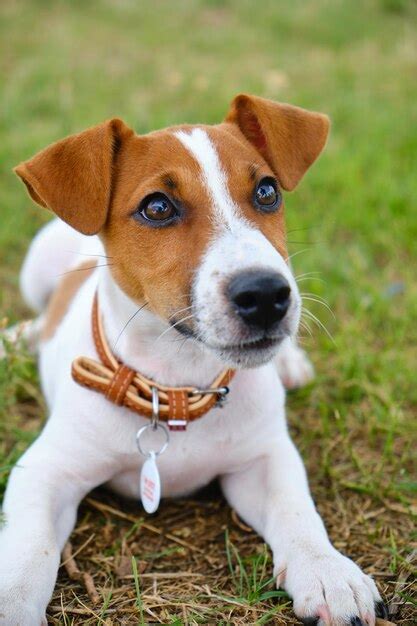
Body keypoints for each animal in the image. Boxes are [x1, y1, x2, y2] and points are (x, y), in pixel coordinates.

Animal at [0, 94, 386, 624]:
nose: (267, 295)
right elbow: (27, 551)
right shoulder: (44, 471)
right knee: (39, 316)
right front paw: (12, 603)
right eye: (157, 207)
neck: (178, 383)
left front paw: (328, 571)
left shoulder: (264, 458)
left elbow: (297, 511)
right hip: (36, 266)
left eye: (267, 191)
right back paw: (17, 338)